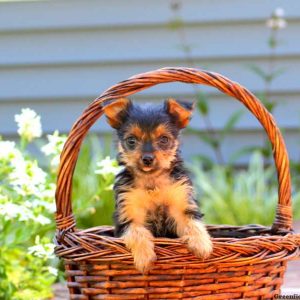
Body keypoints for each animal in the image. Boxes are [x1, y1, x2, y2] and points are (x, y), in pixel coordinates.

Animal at [103, 97, 213, 274]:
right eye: (131, 140)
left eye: (164, 139)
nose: (147, 159)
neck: (152, 180)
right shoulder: (129, 213)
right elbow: (137, 231)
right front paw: (144, 258)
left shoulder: (180, 204)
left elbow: (192, 223)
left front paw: (201, 244)